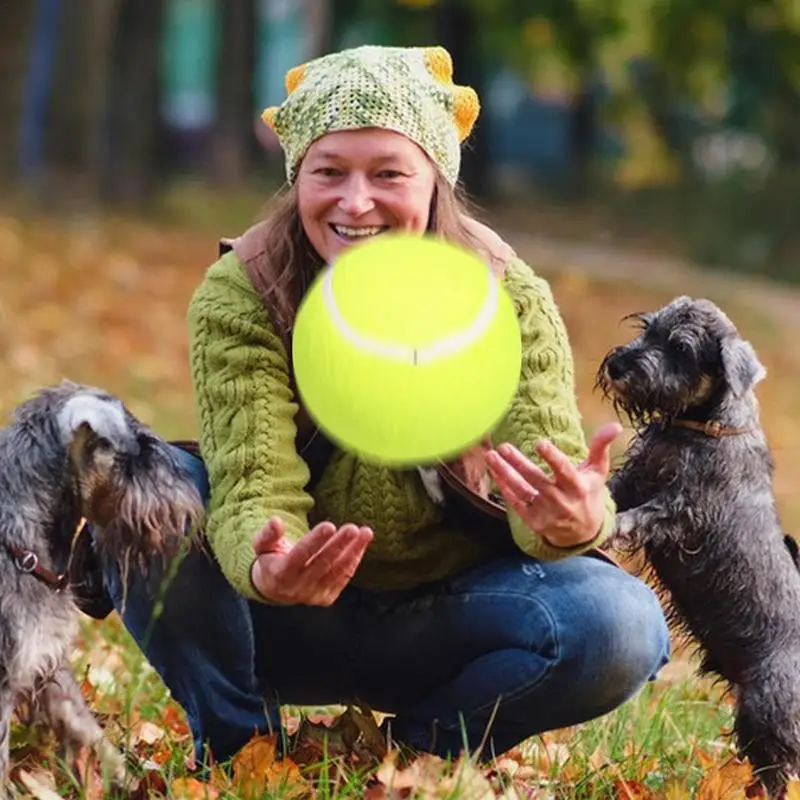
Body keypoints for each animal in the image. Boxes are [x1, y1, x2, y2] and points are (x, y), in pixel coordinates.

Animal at [596, 296, 800, 796]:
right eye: (647, 330)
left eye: (682, 349)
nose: (617, 364)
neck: (697, 424)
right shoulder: (634, 480)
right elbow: (609, 493)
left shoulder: (680, 510)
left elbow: (635, 519)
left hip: (768, 713)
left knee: (779, 771)